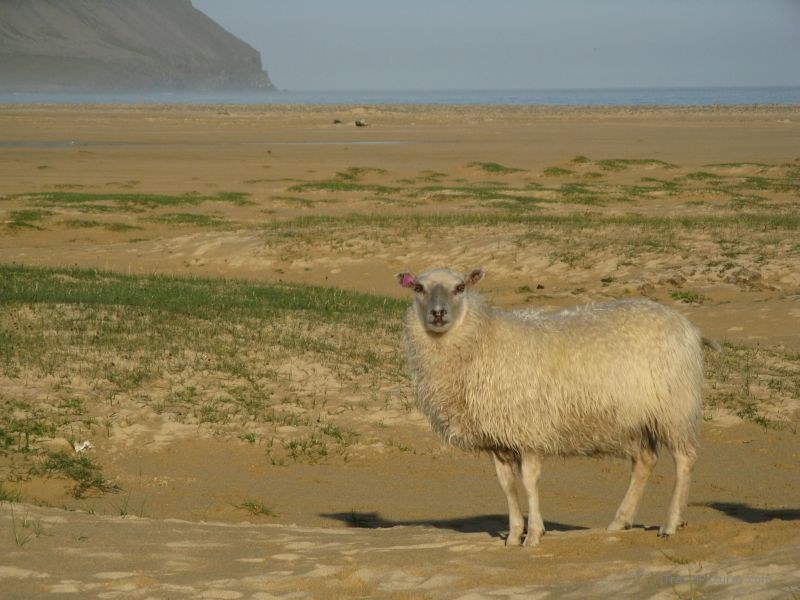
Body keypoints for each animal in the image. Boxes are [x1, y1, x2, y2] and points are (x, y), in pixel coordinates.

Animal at [396, 266, 707, 546]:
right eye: (418, 288)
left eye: (460, 287)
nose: (438, 314)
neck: (483, 340)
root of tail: (687, 325)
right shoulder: (498, 436)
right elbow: (507, 485)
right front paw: (514, 535)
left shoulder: (529, 430)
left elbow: (529, 482)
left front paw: (533, 534)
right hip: (634, 419)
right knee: (645, 461)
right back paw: (620, 522)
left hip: (674, 407)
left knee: (685, 458)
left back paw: (670, 523)